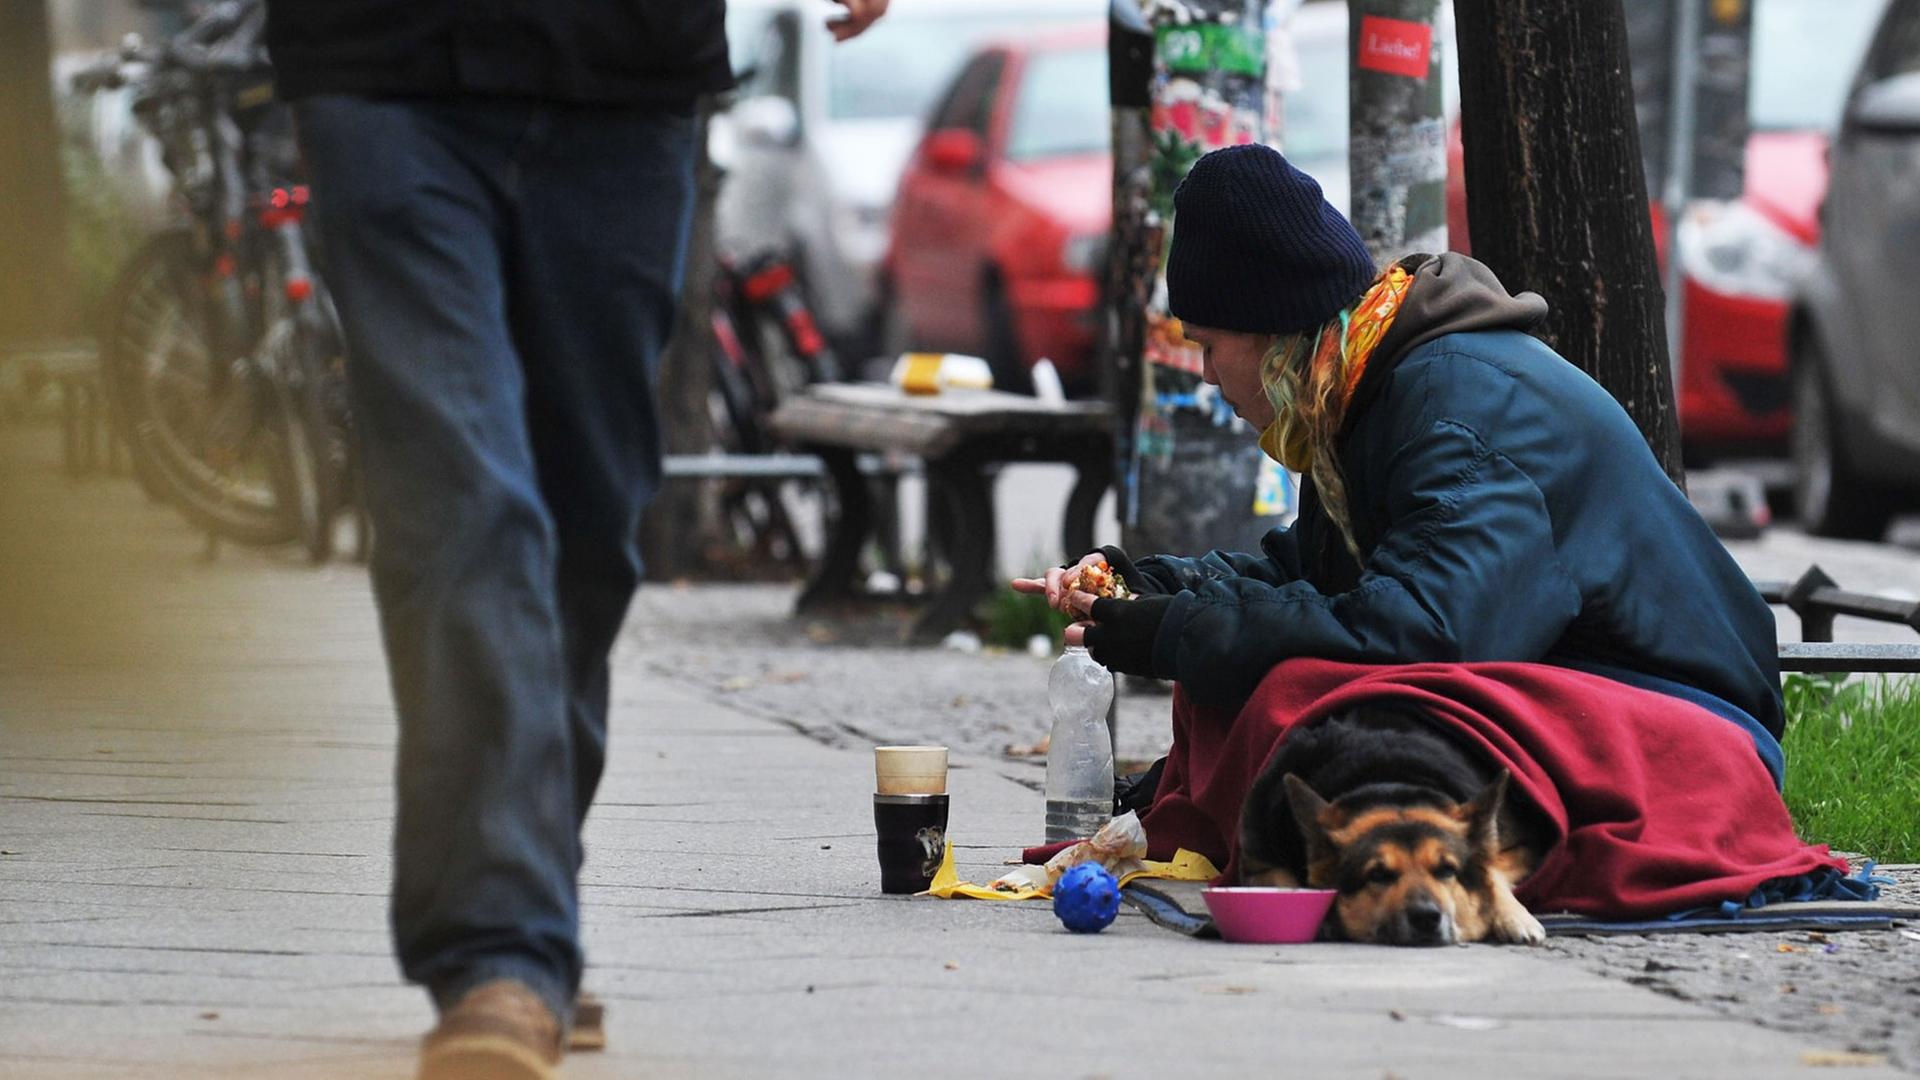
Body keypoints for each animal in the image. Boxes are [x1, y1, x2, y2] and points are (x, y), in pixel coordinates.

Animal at [1236, 699, 1551, 941]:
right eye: (1378, 874)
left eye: (1446, 870)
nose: (1426, 917)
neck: (1390, 786)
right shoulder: (1258, 863)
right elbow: (1283, 885)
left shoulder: (1522, 847)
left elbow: (1492, 870)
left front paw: (1513, 916)